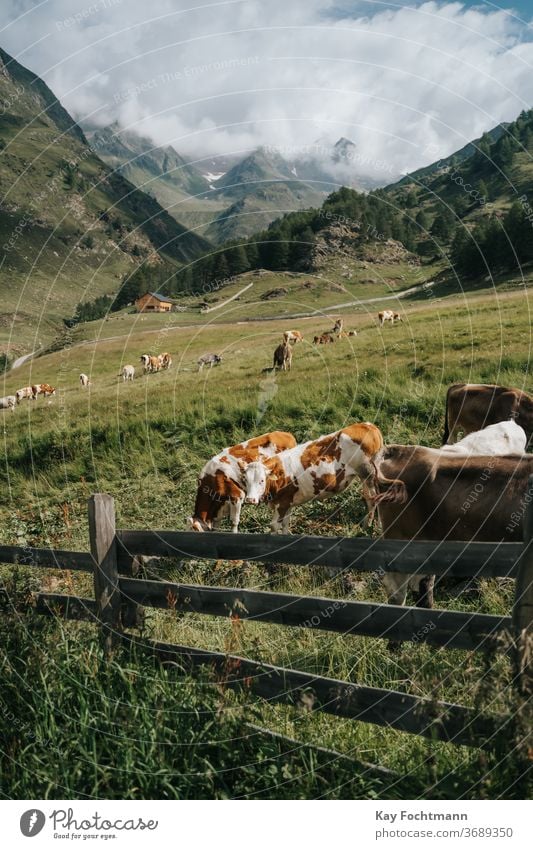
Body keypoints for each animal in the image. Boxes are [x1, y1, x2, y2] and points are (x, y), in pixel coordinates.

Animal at [239, 422, 388, 532]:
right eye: (245, 480)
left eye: (261, 480)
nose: (250, 499)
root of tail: (368, 425)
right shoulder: (287, 501)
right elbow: (285, 524)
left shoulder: (281, 503)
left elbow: (274, 526)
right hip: (365, 476)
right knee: (369, 499)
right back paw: (367, 526)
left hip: (367, 472)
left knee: (376, 499)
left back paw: (377, 527)